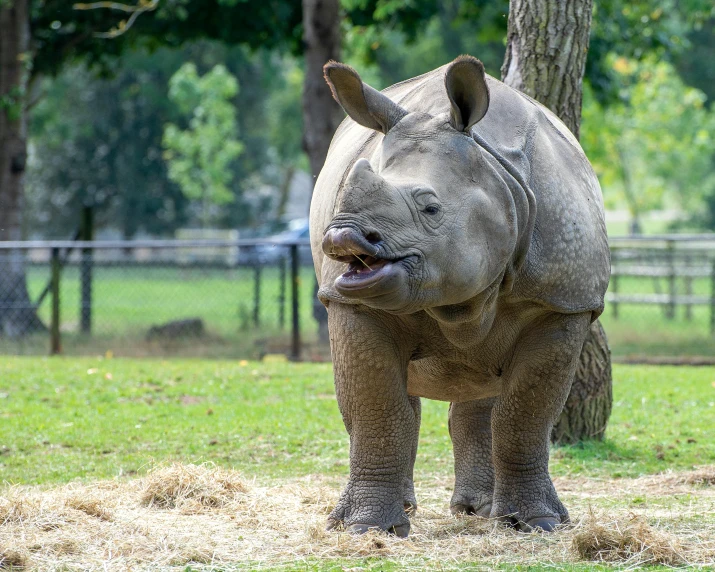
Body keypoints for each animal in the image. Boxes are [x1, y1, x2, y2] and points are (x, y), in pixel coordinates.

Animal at [308, 53, 608, 536]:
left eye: (431, 208)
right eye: (339, 203)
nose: (343, 235)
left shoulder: (562, 302)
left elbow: (525, 415)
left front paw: (538, 524)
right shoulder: (349, 299)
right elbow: (378, 408)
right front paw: (368, 530)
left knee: (485, 388)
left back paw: (481, 511)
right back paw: (403, 512)